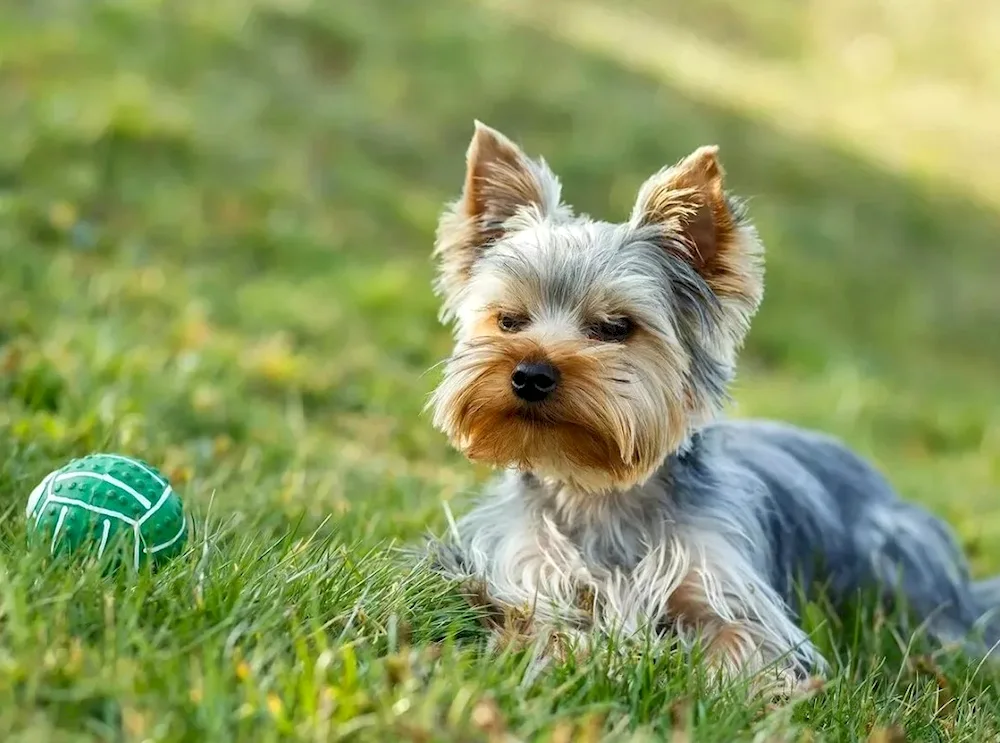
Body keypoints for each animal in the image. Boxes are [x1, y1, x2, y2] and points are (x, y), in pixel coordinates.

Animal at [422, 120, 1000, 692]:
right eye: (509, 320)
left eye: (615, 327)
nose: (530, 375)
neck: (596, 489)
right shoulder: (524, 570)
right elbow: (537, 624)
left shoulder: (733, 593)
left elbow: (740, 643)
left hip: (896, 557)